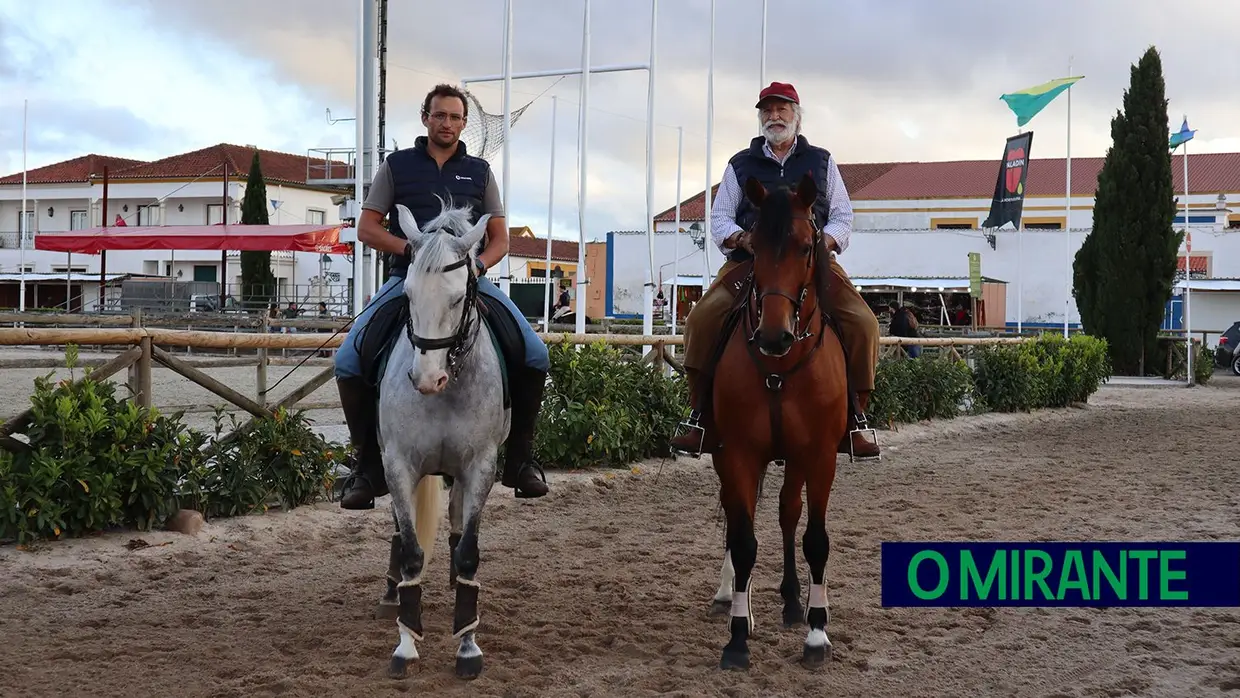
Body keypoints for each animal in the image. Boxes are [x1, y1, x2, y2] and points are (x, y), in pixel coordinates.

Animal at [379, 199, 510, 679]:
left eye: (457, 298)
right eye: (408, 296)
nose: (426, 379)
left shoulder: (480, 466)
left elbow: (469, 549)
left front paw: (467, 644)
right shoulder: (398, 464)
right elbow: (412, 550)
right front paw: (405, 644)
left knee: (455, 522)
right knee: (402, 531)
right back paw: (392, 590)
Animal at [709, 172, 853, 669]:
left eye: (807, 246)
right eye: (753, 246)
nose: (774, 335)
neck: (780, 366)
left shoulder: (820, 455)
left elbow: (815, 538)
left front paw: (817, 631)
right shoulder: (737, 453)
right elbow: (744, 541)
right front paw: (737, 635)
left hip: (796, 459)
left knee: (789, 513)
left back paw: (792, 601)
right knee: (739, 519)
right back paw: (732, 596)